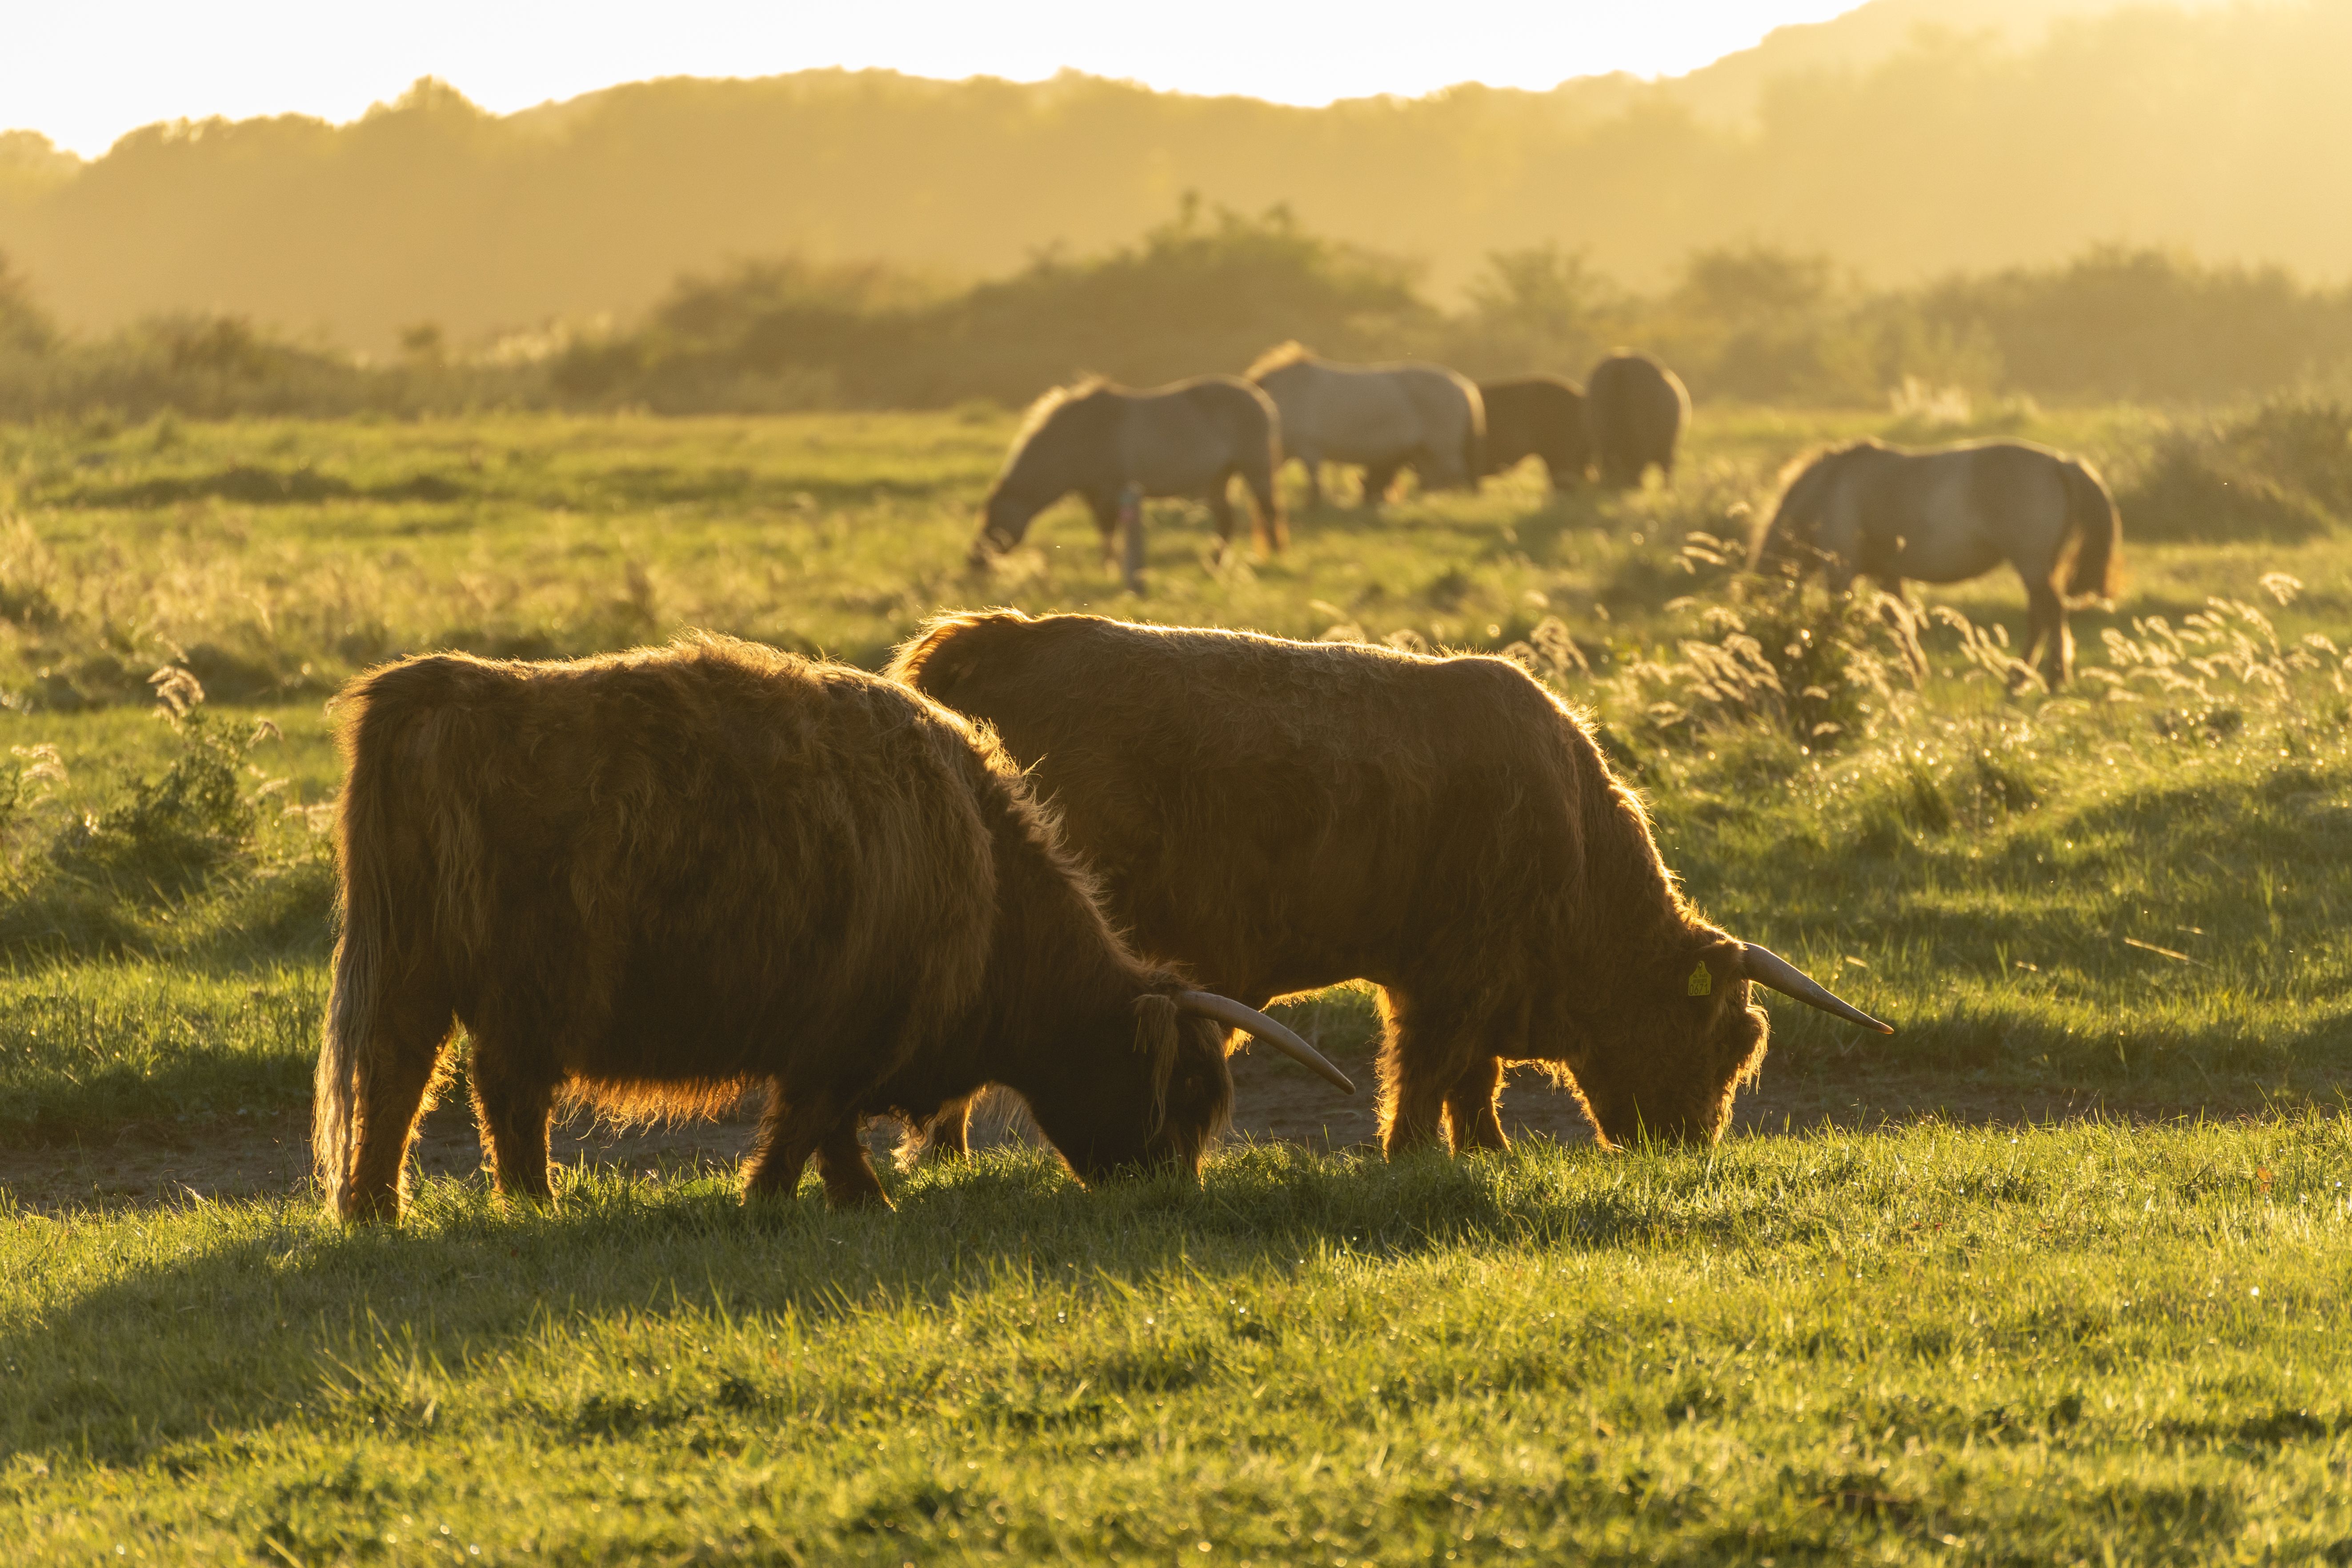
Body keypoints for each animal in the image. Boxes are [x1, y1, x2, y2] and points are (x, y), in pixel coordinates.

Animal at [312, 634, 1351, 1223]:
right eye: (1180, 1091)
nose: (1172, 1190)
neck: (985, 878)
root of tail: (442, 690)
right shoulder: (848, 1030)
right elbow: (810, 1122)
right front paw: (806, 1200)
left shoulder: (837, 1037)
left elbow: (824, 1129)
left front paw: (844, 1199)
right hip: (526, 982)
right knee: (502, 1091)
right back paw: (531, 1203)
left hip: (413, 967)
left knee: (400, 1075)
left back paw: (375, 1210)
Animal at [892, 612, 1888, 1157]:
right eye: (1725, 1040)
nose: (1686, 1145)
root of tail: (996, 641)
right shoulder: (1450, 979)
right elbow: (1428, 1072)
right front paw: (1411, 1153)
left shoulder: (1451, 980)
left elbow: (1471, 1081)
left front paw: (1488, 1150)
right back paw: (944, 1152)